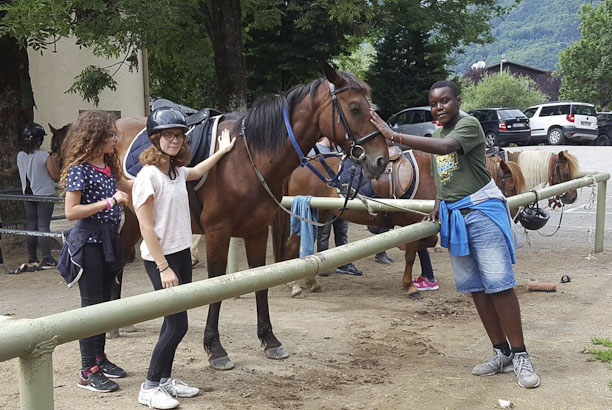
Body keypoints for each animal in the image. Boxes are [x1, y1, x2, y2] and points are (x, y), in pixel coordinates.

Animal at [52, 66, 388, 368]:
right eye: (355, 108)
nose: (381, 160)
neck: (248, 157)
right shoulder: (217, 232)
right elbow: (215, 287)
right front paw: (215, 348)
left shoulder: (256, 231)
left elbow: (260, 284)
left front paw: (269, 340)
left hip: (135, 219)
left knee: (121, 259)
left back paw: (120, 322)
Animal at [274, 151, 524, 298]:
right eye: (511, 186)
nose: (515, 217)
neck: (431, 176)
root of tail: (298, 168)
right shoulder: (412, 223)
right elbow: (412, 254)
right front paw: (410, 286)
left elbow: (426, 243)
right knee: (292, 245)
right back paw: (294, 285)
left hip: (321, 214)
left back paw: (311, 281)